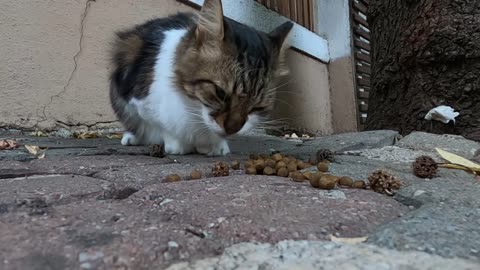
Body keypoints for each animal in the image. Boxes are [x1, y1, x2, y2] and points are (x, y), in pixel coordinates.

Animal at [109, 0, 292, 156]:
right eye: (220, 93)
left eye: (258, 106)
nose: (232, 129)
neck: (196, 112)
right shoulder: (140, 102)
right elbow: (163, 128)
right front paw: (177, 145)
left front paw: (215, 146)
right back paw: (132, 138)